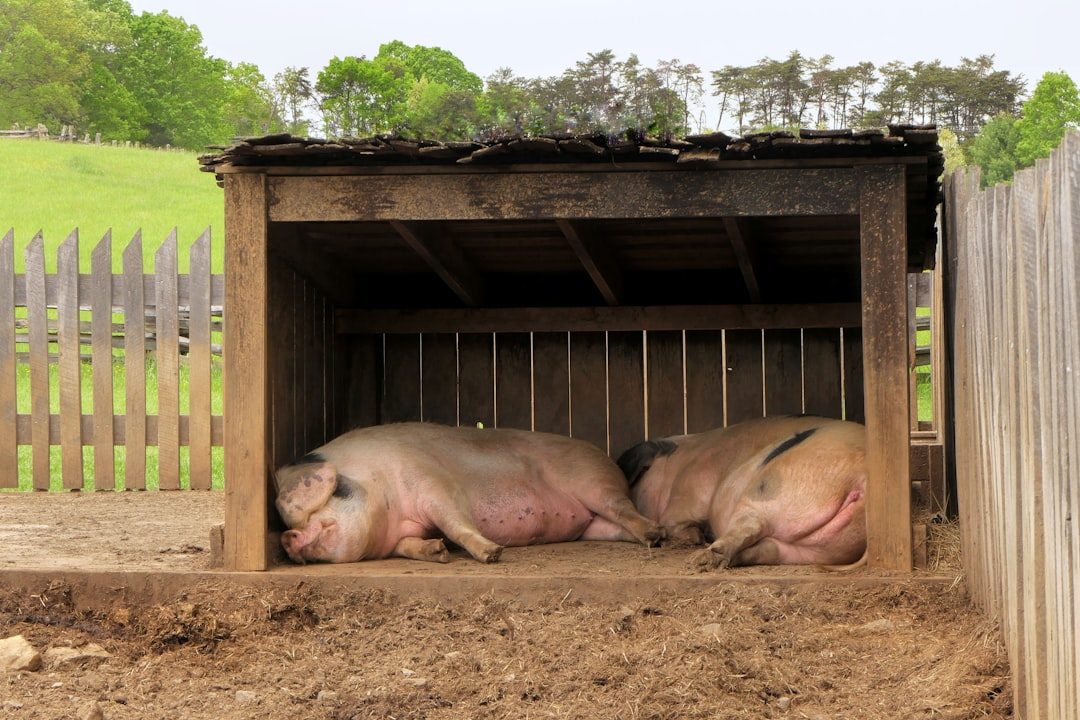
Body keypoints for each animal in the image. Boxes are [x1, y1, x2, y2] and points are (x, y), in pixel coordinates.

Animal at [274, 422, 664, 564]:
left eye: (337, 492)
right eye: (289, 524)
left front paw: (491, 554)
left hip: (592, 482)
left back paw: (656, 534)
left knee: (623, 508)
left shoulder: (434, 483)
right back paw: (651, 539)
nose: (288, 537)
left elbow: (454, 519)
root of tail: (606, 458)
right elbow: (409, 545)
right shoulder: (402, 533)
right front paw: (437, 552)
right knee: (617, 528)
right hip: (592, 525)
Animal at [617, 416, 865, 569]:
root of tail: (861, 479)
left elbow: (675, 522)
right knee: (765, 549)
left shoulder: (687, 491)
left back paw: (699, 559)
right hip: (814, 550)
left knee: (749, 527)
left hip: (766, 492)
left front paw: (693, 536)